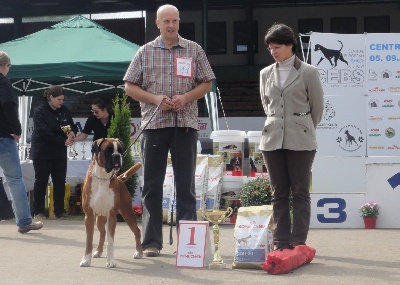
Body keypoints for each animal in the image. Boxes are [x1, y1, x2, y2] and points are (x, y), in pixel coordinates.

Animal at [80, 138, 144, 266]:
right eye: (108, 151)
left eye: (120, 150)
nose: (117, 156)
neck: (102, 178)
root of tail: (120, 178)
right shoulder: (89, 215)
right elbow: (89, 239)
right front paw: (86, 259)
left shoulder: (112, 215)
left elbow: (110, 240)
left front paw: (110, 261)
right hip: (100, 218)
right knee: (102, 233)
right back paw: (98, 251)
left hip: (127, 213)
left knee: (137, 231)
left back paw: (138, 252)